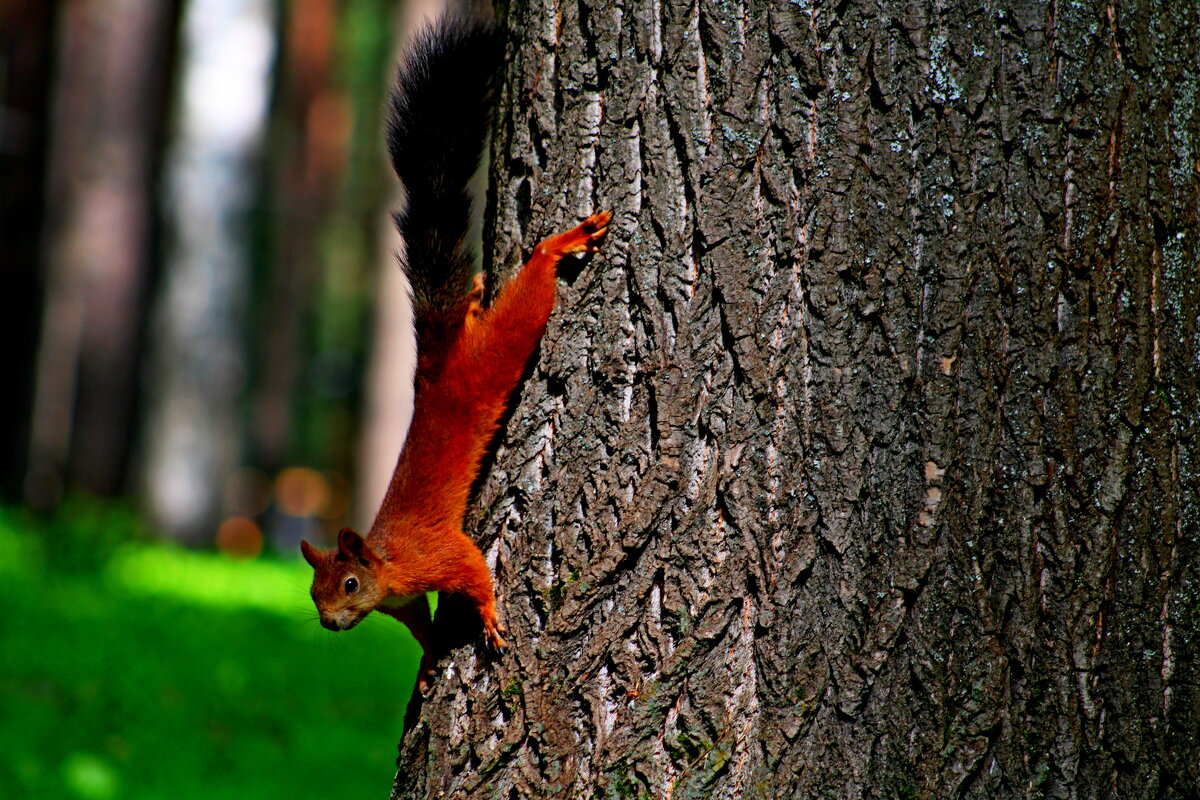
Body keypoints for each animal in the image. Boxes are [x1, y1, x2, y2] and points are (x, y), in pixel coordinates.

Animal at [296, 9, 614, 690]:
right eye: (313, 591)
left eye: (350, 583)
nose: (330, 623)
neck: (389, 568)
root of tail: (438, 369)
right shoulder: (406, 600)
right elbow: (420, 628)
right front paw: (425, 662)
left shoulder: (436, 556)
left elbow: (473, 570)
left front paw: (490, 616)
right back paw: (471, 293)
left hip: (495, 357)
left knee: (525, 303)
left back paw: (557, 247)